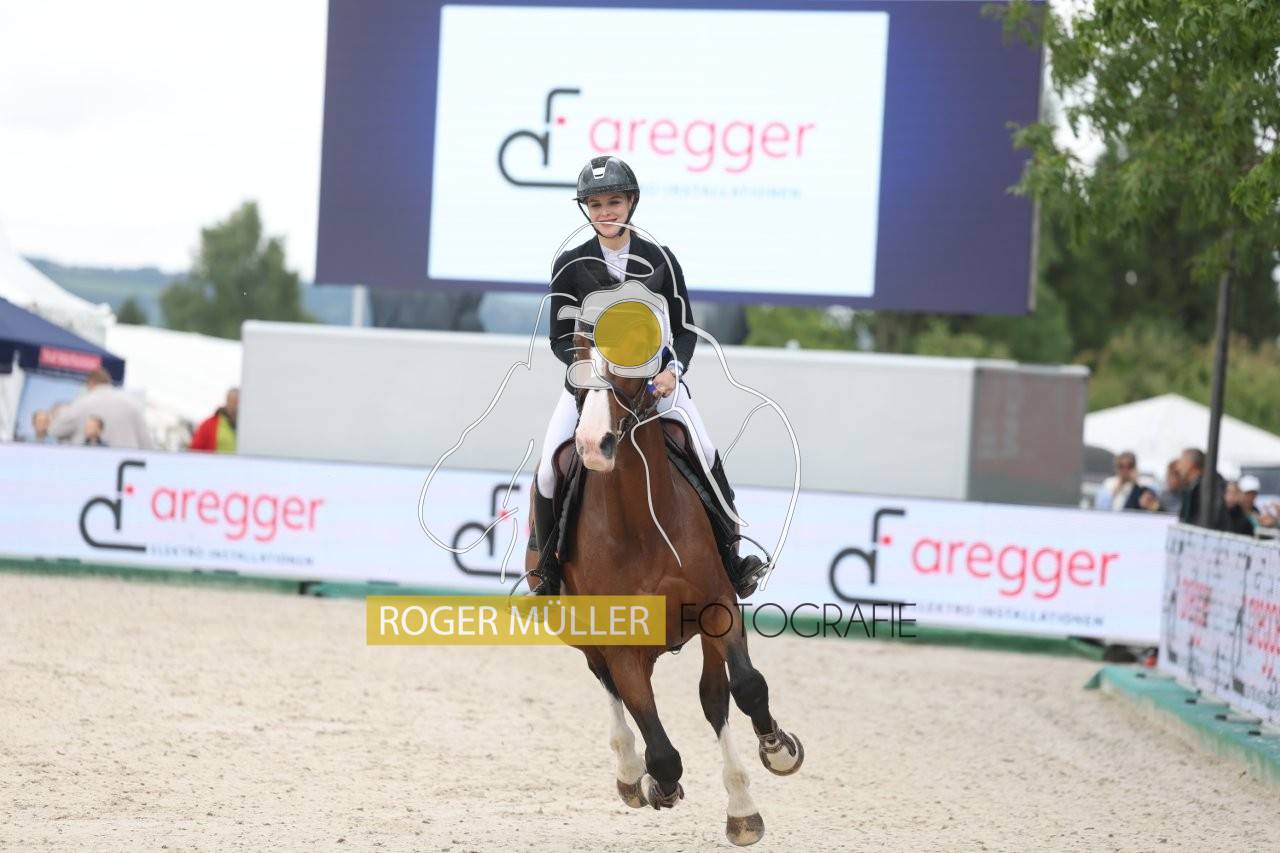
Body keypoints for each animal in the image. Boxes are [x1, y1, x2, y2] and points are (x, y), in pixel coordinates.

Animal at [524, 330, 804, 847]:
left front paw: (778, 753)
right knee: (613, 689)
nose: (593, 444)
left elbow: (747, 687)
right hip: (592, 640)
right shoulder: (620, 643)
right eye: (578, 357)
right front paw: (657, 782)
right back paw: (631, 774)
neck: (640, 521)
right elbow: (661, 748)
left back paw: (739, 799)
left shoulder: (719, 607)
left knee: (713, 699)